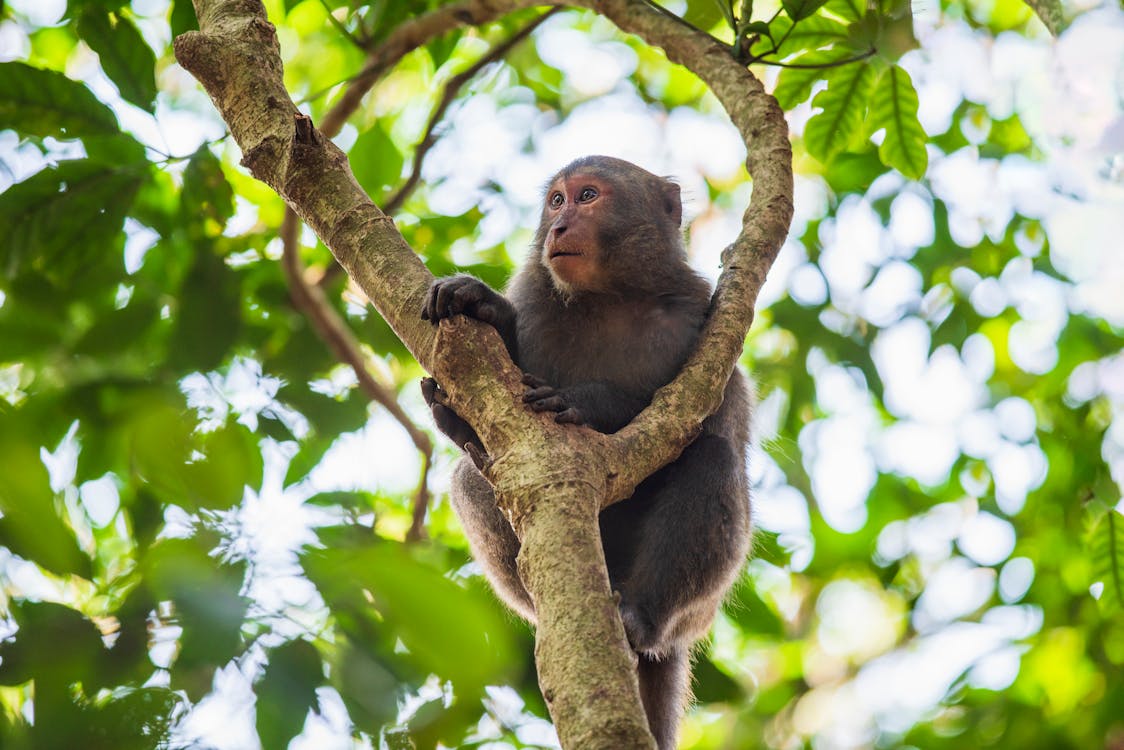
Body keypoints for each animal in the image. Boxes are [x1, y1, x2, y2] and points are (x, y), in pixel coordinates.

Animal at [418, 154, 750, 750]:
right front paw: (482, 305)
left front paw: (585, 402)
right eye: (556, 200)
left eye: (588, 196)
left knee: (711, 457)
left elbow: (680, 414)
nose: (558, 226)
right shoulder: (535, 295)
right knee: (474, 478)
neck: (606, 296)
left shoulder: (698, 320)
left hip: (694, 612)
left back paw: (640, 618)